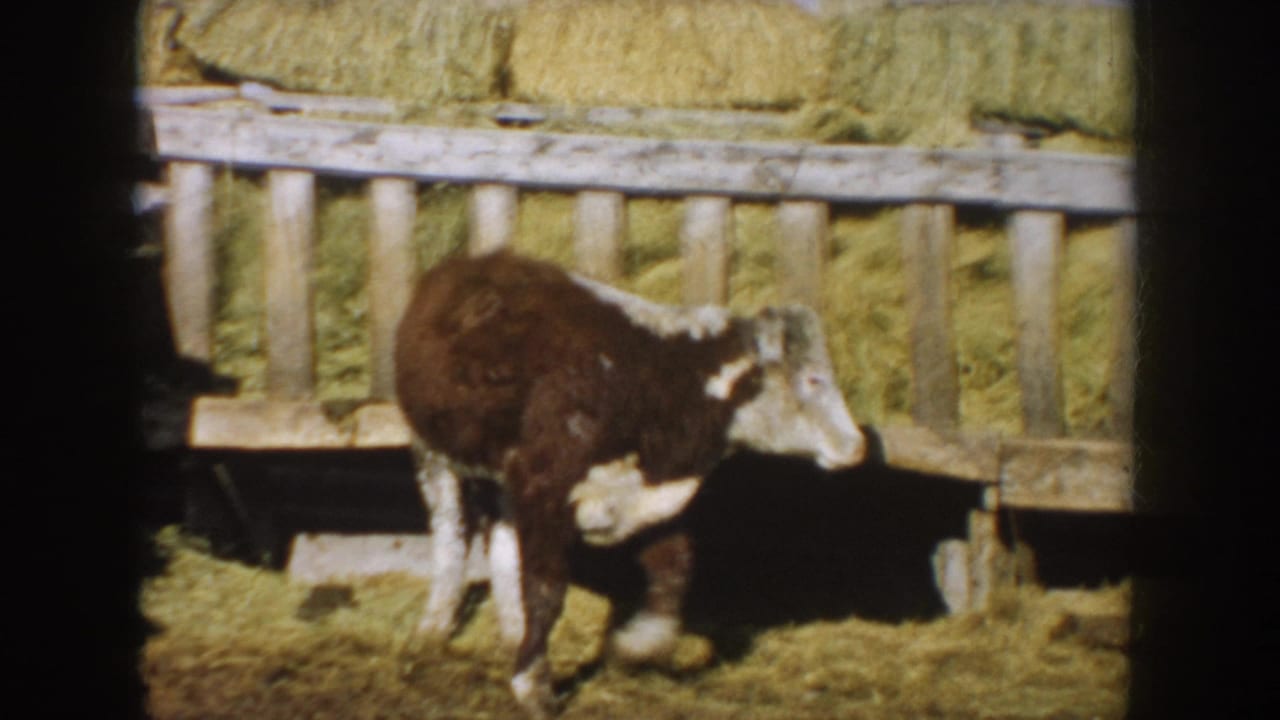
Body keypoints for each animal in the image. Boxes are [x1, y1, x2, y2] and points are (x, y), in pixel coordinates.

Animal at [394, 250, 865, 717]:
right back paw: (434, 627)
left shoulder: (653, 498)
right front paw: (535, 686)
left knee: (504, 544)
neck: (653, 378)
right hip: (433, 451)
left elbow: (673, 571)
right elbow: (547, 591)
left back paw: (512, 631)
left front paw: (637, 647)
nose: (857, 445)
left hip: (503, 479)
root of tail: (472, 263)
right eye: (813, 379)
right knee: (452, 534)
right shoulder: (545, 489)